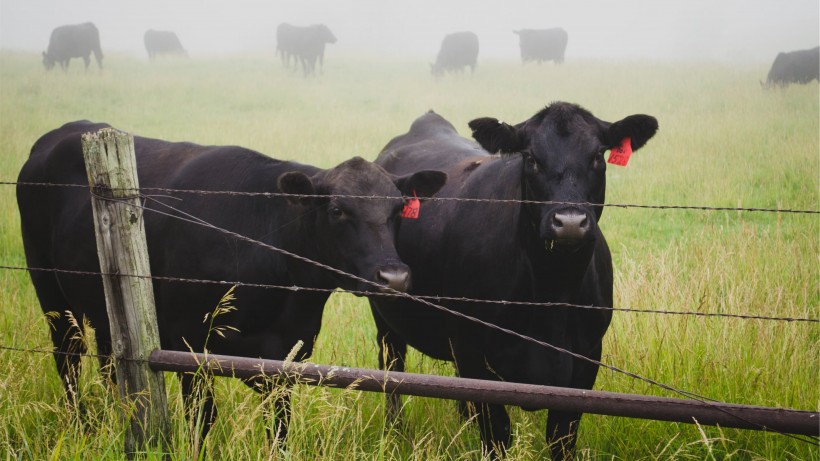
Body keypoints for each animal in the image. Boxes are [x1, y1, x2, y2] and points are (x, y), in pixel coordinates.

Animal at [16, 120, 446, 444]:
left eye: (398, 210)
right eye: (338, 210)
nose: (393, 276)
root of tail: (64, 133)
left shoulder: (287, 356)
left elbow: (279, 427)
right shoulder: (188, 345)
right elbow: (202, 419)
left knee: (109, 362)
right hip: (50, 293)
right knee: (69, 359)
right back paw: (83, 427)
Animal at [368, 102, 656, 458]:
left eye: (597, 156)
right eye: (530, 158)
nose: (570, 221)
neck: (551, 293)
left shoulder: (587, 358)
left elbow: (562, 437)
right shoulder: (473, 353)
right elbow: (496, 434)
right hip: (386, 317)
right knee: (392, 371)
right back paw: (395, 433)